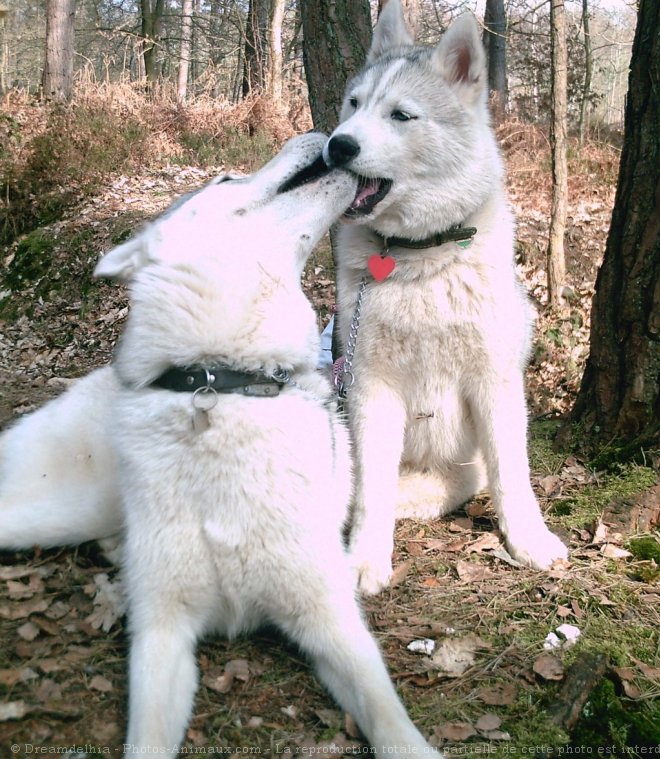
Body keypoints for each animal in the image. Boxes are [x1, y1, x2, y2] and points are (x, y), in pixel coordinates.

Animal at [2, 132, 440, 756]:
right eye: (226, 181)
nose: (323, 136)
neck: (222, 379)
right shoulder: (161, 632)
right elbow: (146, 740)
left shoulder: (328, 612)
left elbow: (387, 713)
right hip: (57, 512)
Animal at [324, 1, 568, 592]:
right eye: (354, 104)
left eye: (401, 115)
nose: (338, 145)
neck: (421, 257)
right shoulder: (370, 387)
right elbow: (371, 491)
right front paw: (365, 560)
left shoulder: (495, 381)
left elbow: (513, 474)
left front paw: (528, 541)